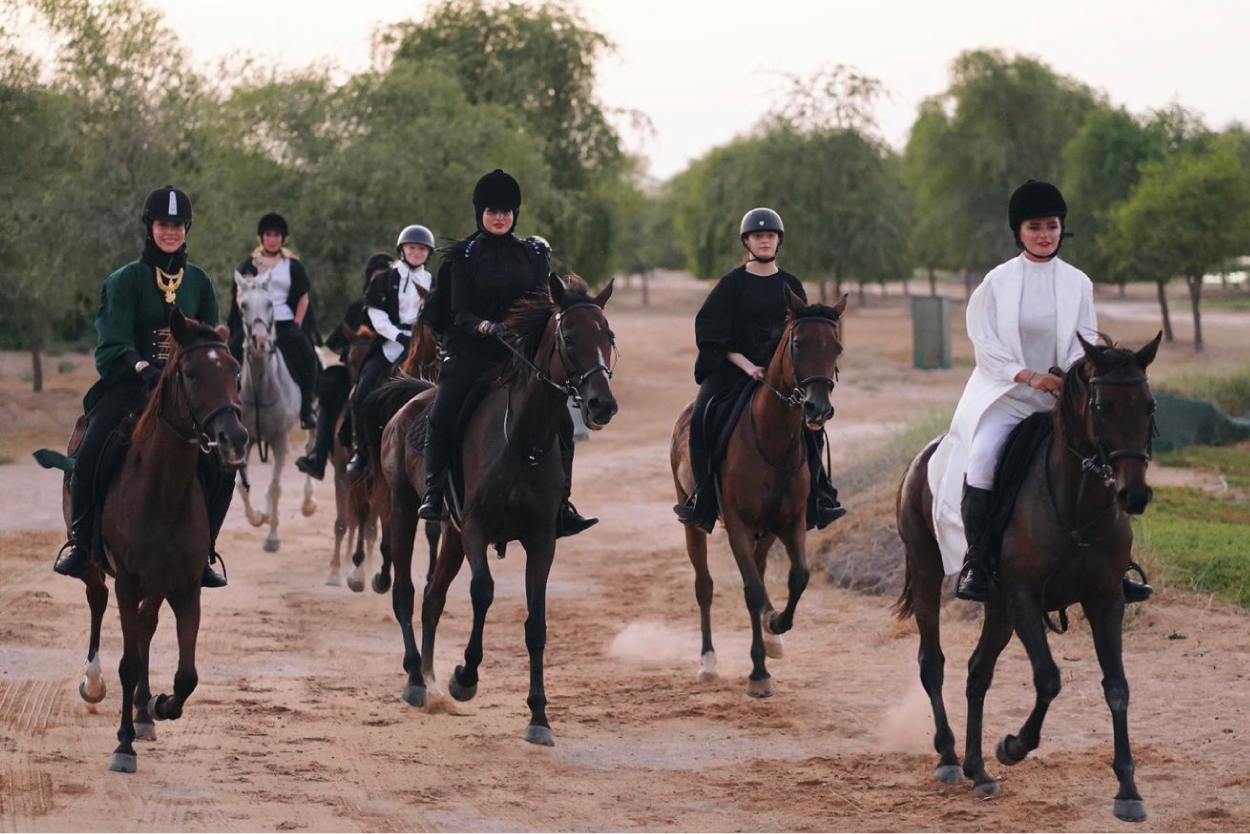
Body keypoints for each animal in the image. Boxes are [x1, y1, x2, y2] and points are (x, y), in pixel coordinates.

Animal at [235, 271, 315, 550]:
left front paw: (272, 537)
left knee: (310, 449)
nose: (259, 341)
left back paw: (308, 504)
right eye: (243, 304)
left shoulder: (281, 438)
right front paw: (260, 516)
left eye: (270, 303)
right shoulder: (245, 440)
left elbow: (277, 486)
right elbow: (243, 486)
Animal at [377, 277, 617, 745]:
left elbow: (536, 624)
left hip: (450, 537)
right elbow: (483, 592)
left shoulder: (541, 539)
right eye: (569, 337)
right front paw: (465, 678)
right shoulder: (475, 528)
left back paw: (430, 678)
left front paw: (539, 717)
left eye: (609, 337)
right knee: (405, 592)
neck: (522, 440)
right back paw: (416, 679)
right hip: (404, 509)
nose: (602, 405)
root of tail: (413, 400)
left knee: (432, 598)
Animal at [670, 293, 845, 700]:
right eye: (798, 344)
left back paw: (771, 632)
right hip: (694, 522)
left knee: (763, 570)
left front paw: (776, 624)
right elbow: (749, 589)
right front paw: (759, 673)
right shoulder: (736, 522)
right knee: (704, 586)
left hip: (765, 531)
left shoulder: (791, 521)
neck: (773, 437)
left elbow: (798, 576)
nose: (817, 409)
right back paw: (708, 663)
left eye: (837, 347)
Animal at [895, 330, 1165, 820]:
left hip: (999, 608)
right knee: (933, 663)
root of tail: (925, 456)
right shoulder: (1024, 597)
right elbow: (1049, 678)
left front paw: (1128, 790)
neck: (1077, 506)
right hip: (929, 572)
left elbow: (1117, 686)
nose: (1133, 495)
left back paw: (978, 769)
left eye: (1149, 405)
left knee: (978, 672)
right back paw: (949, 757)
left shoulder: (1106, 599)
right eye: (1103, 407)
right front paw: (1014, 746)